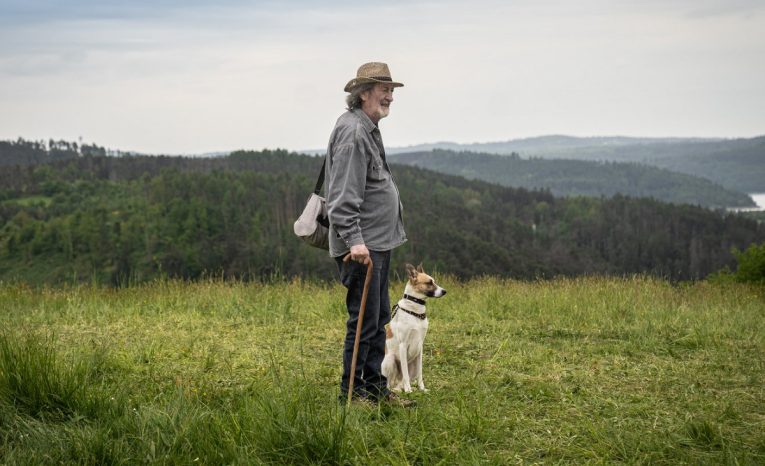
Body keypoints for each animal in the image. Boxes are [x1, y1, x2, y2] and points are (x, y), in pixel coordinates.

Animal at [384, 264, 444, 392]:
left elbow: (420, 374)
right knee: (390, 382)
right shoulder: (403, 345)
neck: (415, 312)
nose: (444, 291)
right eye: (429, 282)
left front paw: (422, 389)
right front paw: (408, 390)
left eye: (433, 281)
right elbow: (405, 374)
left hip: (412, 365)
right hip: (390, 361)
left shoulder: (420, 346)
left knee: (400, 382)